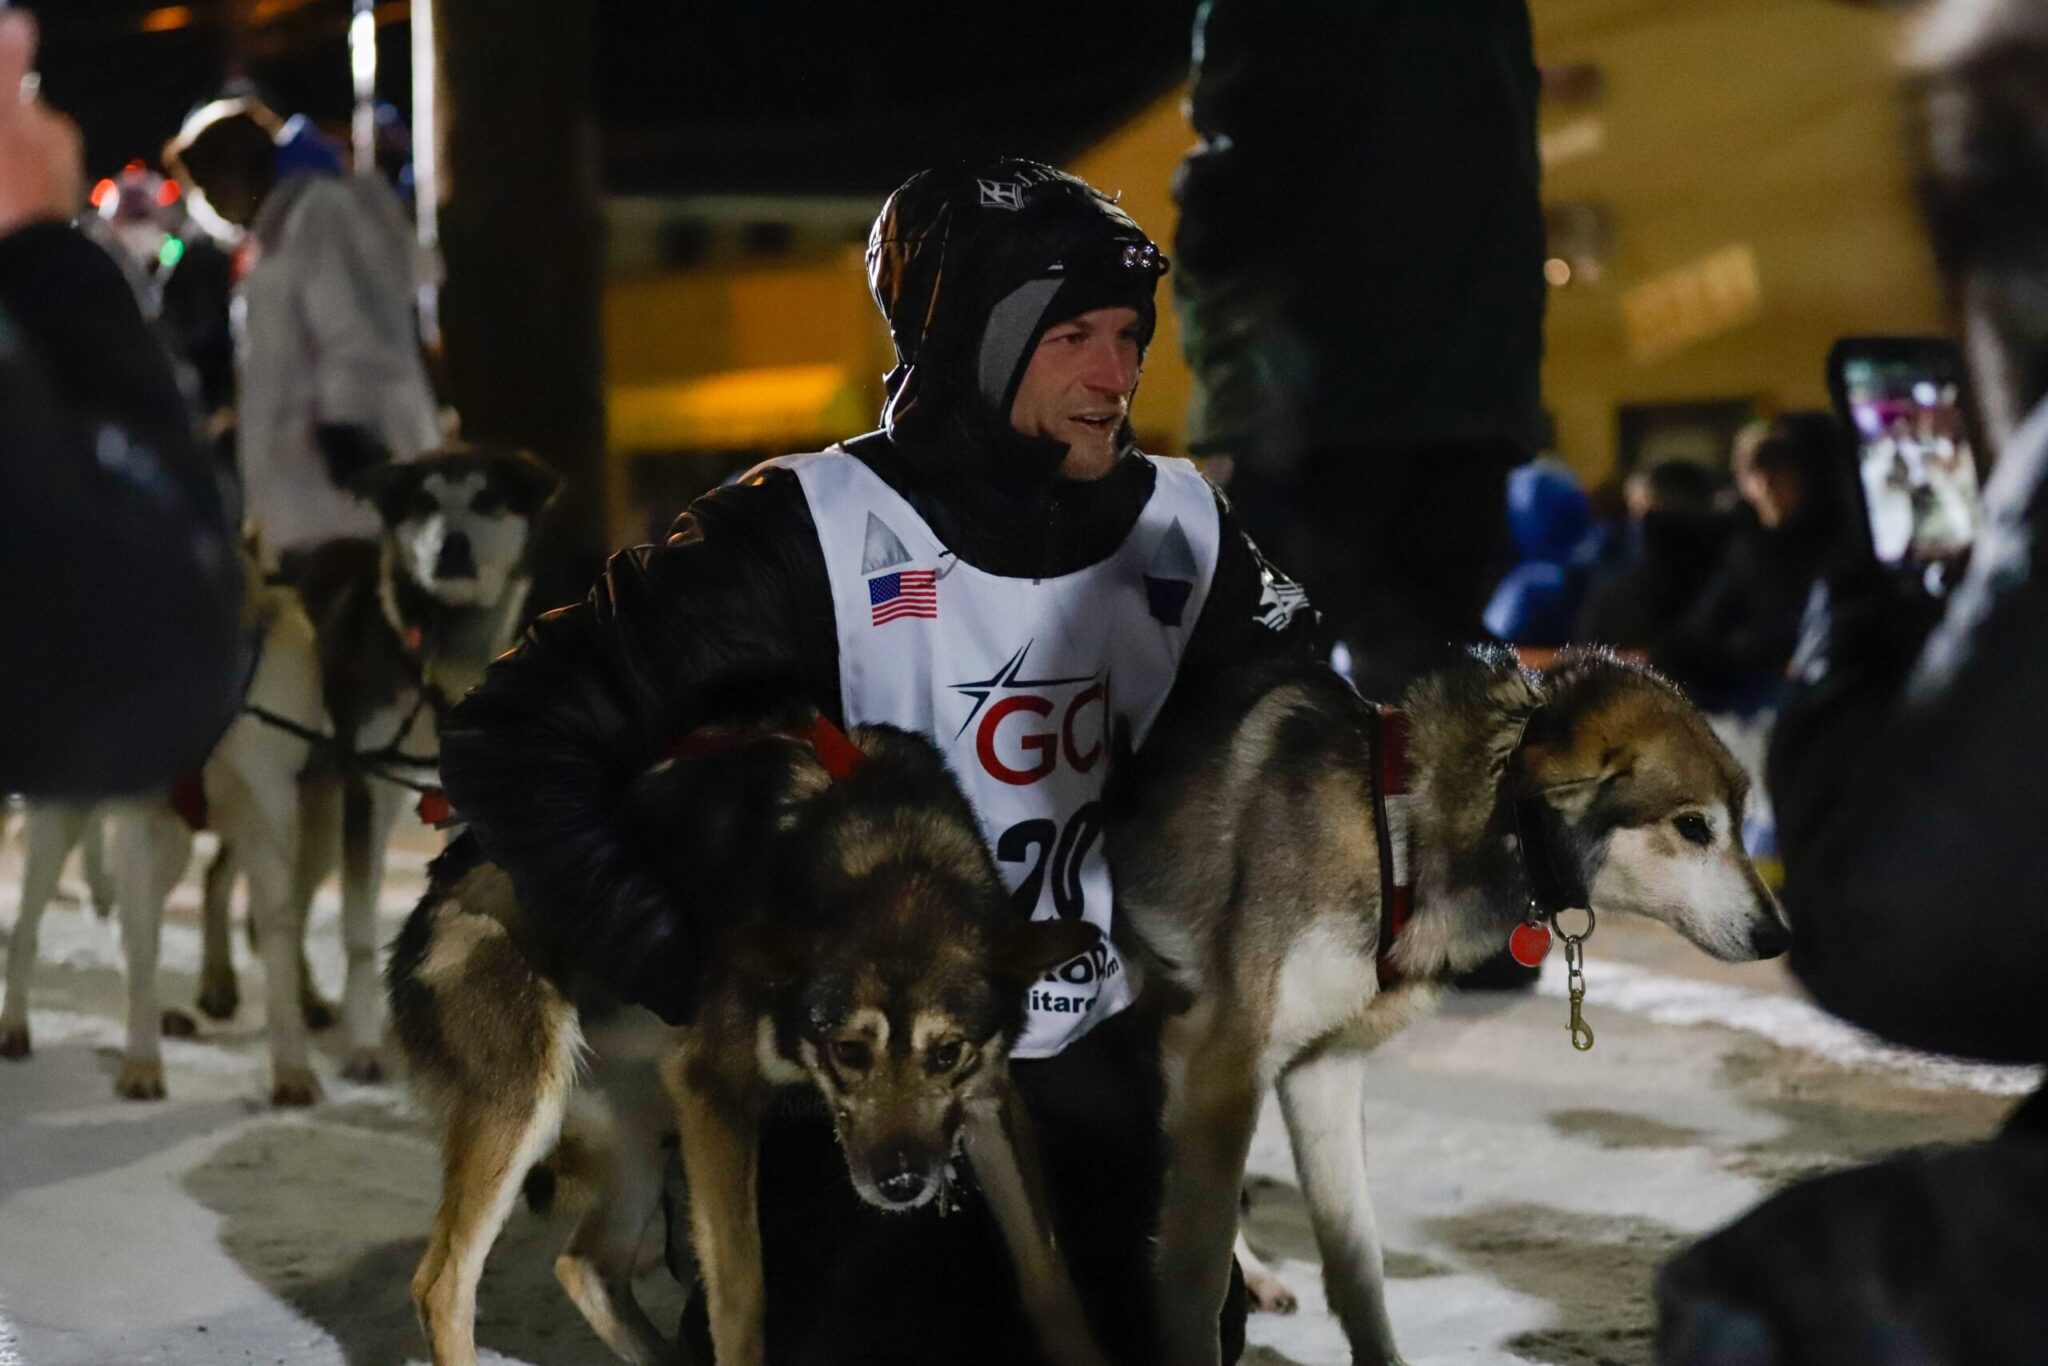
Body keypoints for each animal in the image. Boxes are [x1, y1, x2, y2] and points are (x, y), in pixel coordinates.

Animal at [391, 716, 1114, 1366]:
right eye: (848, 1050)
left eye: (947, 1053)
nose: (904, 1183)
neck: (890, 852)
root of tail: (428, 906)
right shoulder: (714, 1091)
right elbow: (740, 1302)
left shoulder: (989, 1099)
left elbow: (1049, 1276)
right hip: (528, 1111)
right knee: (442, 1286)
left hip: (647, 1129)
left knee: (586, 1264)